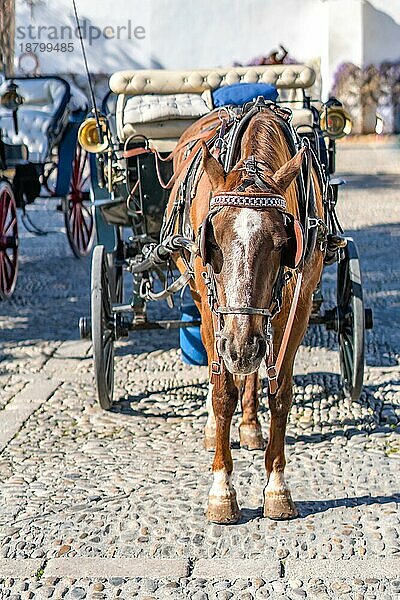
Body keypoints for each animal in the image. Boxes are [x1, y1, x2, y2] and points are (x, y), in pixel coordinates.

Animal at [167, 108, 324, 524]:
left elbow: (280, 392)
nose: (240, 347)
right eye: (212, 239)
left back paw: (251, 425)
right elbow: (223, 392)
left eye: (284, 243)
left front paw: (277, 488)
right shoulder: (213, 310)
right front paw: (222, 491)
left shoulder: (297, 307)